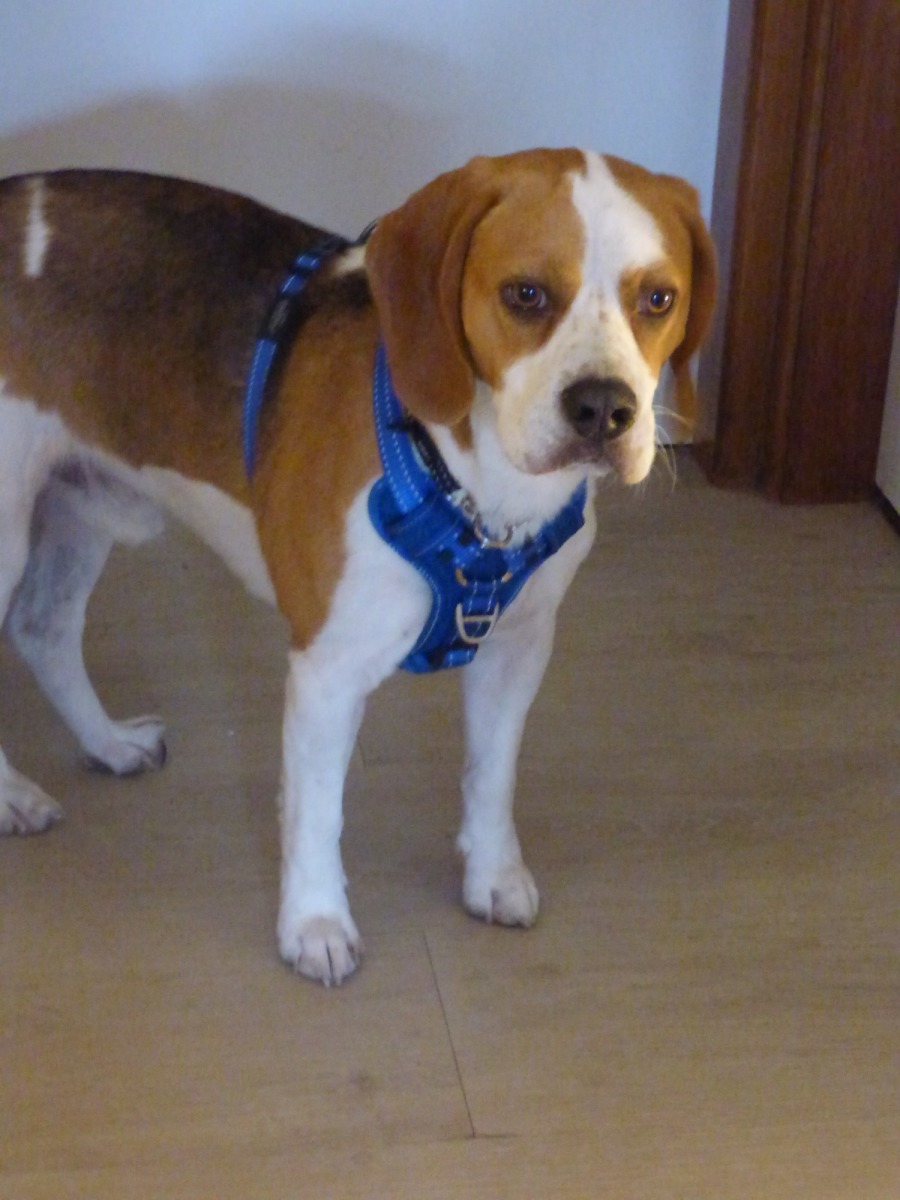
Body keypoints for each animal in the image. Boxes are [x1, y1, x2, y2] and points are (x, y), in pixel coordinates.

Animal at [0, 149, 716, 984]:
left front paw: (492, 875)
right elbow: (318, 812)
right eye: (526, 293)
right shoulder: (328, 670)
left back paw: (108, 743)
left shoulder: (518, 647)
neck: (482, 493)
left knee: (45, 631)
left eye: (659, 298)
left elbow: (491, 775)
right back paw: (13, 796)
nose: (604, 409)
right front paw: (315, 926)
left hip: (79, 508)